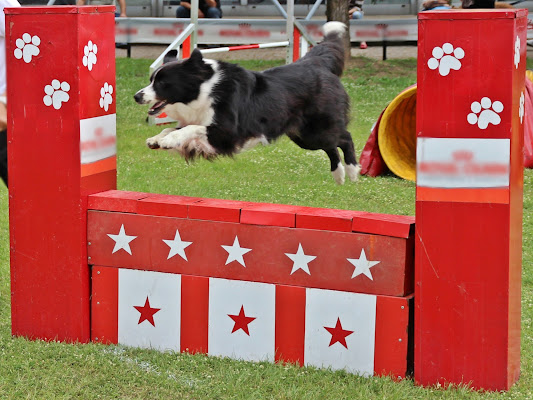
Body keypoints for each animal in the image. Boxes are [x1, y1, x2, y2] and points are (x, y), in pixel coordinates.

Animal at [133, 21, 360, 184]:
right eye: (151, 79)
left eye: (163, 83)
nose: (137, 96)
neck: (204, 89)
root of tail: (316, 62)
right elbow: (173, 127)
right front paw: (158, 139)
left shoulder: (227, 133)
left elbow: (191, 128)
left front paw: (168, 140)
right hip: (302, 135)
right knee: (331, 145)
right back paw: (339, 175)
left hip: (315, 129)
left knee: (344, 138)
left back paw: (352, 171)